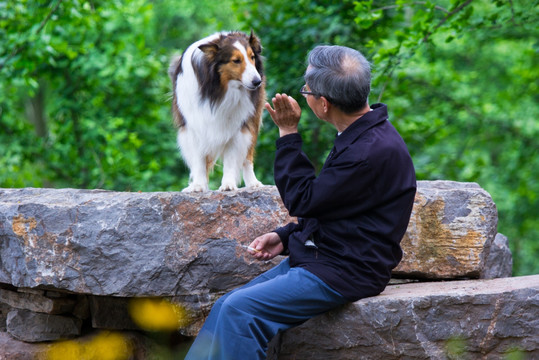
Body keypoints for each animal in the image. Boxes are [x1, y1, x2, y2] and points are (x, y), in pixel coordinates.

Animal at [169, 31, 266, 193]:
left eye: (252, 57)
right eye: (236, 60)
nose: (257, 82)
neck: (216, 90)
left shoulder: (237, 127)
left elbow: (232, 158)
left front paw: (228, 184)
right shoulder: (194, 124)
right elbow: (198, 158)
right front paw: (198, 185)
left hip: (252, 119)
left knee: (247, 156)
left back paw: (253, 183)